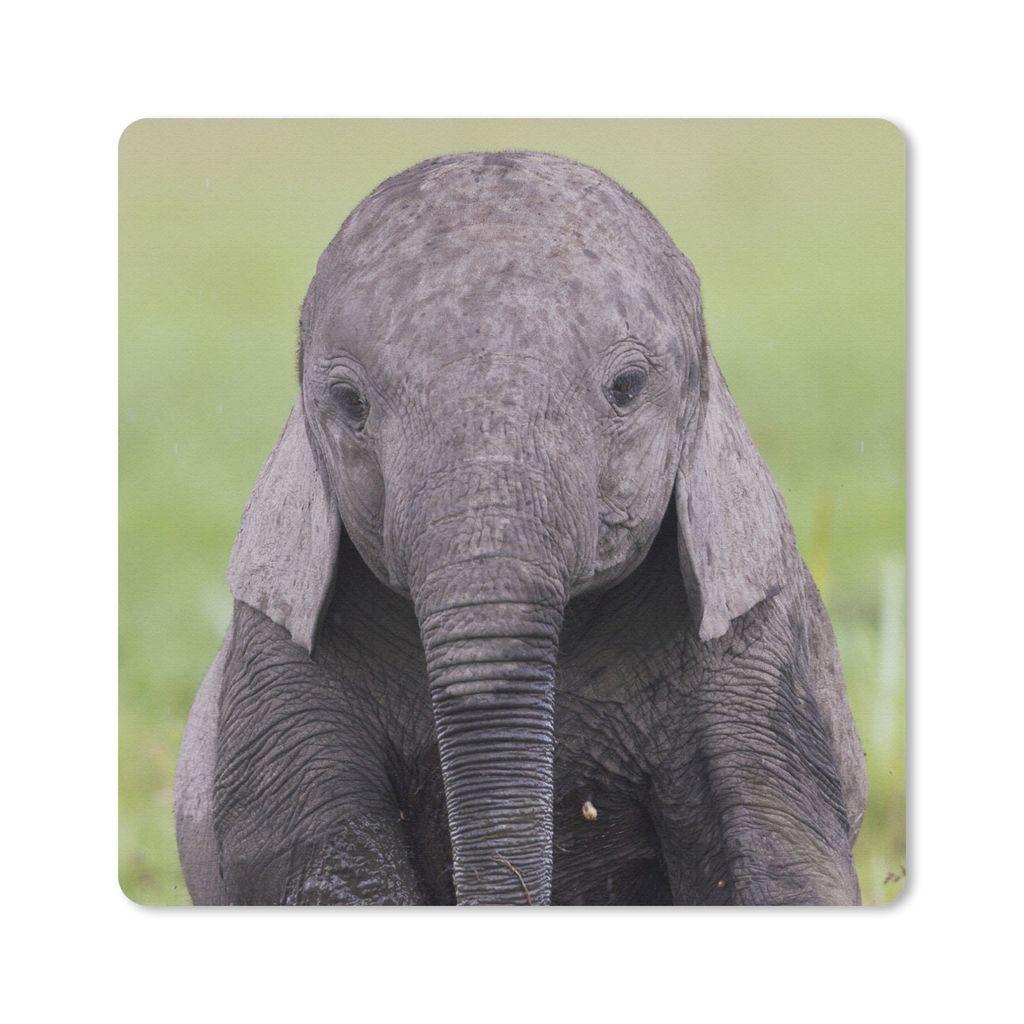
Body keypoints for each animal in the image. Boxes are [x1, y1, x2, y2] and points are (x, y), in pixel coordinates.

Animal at [174, 150, 867, 906]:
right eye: (348, 403)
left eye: (627, 388)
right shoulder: (276, 666)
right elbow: (326, 875)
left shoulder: (757, 652)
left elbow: (787, 867)